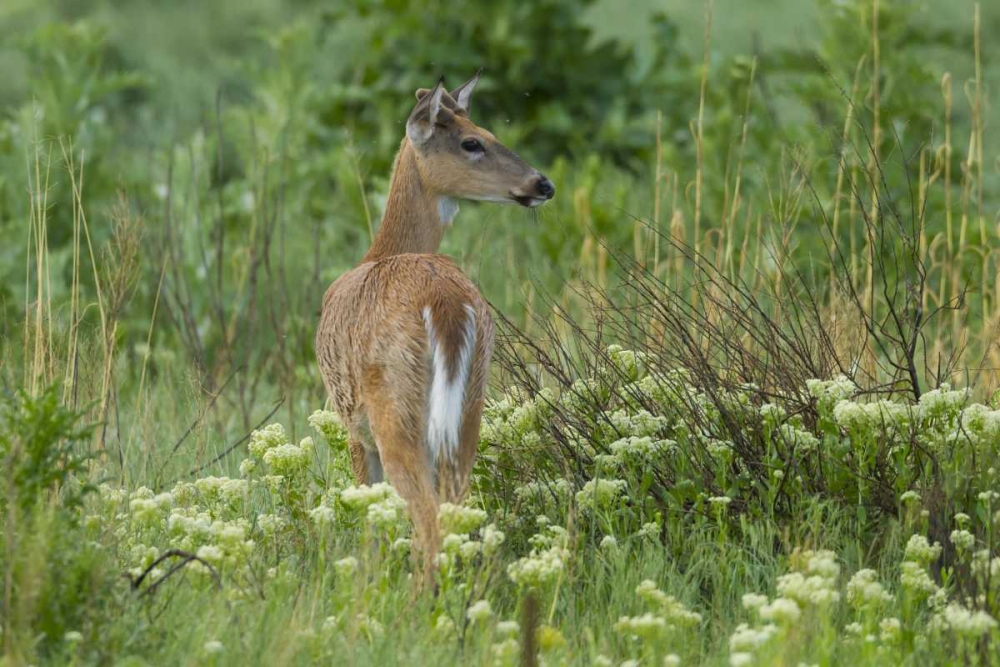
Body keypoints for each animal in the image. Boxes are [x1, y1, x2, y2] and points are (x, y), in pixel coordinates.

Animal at [315, 71, 555, 581]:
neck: (378, 252)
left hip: (396, 408)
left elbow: (370, 521)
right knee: (453, 514)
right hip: (471, 404)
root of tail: (444, 303)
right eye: (473, 140)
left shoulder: (352, 426)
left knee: (427, 523)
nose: (543, 184)